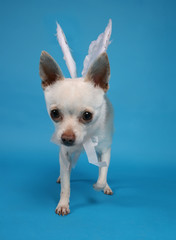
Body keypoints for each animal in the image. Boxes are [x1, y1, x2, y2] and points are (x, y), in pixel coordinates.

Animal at [39, 47, 113, 216]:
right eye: (54, 113)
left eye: (87, 115)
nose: (67, 138)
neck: (85, 139)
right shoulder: (64, 154)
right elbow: (65, 186)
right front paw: (63, 204)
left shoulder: (105, 150)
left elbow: (102, 174)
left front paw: (100, 185)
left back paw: (106, 186)